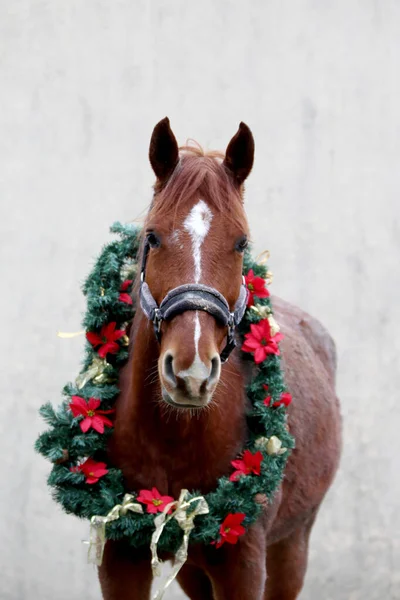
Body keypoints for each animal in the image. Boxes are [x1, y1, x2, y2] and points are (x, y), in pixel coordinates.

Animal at [98, 118, 342, 600]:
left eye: (241, 242)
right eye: (152, 237)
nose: (191, 373)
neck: (173, 435)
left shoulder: (243, 562)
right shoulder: (120, 557)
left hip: (293, 544)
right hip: (194, 566)